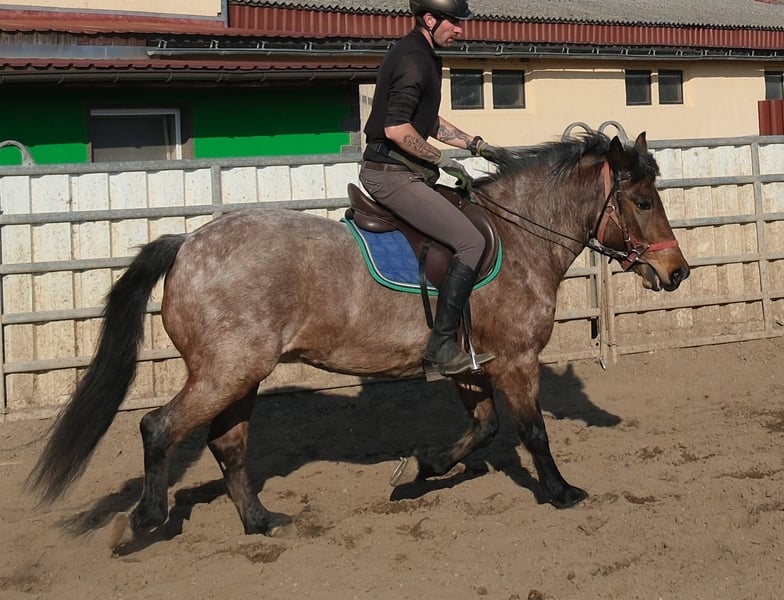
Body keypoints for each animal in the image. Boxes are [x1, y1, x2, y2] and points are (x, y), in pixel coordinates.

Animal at [28, 130, 689, 537]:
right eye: (640, 200)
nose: (676, 272)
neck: (519, 237)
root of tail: (187, 243)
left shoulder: (474, 364)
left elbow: (482, 429)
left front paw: (418, 471)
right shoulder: (516, 361)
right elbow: (532, 432)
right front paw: (560, 491)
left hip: (240, 375)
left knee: (228, 445)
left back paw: (261, 522)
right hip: (226, 371)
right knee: (159, 428)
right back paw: (146, 519)